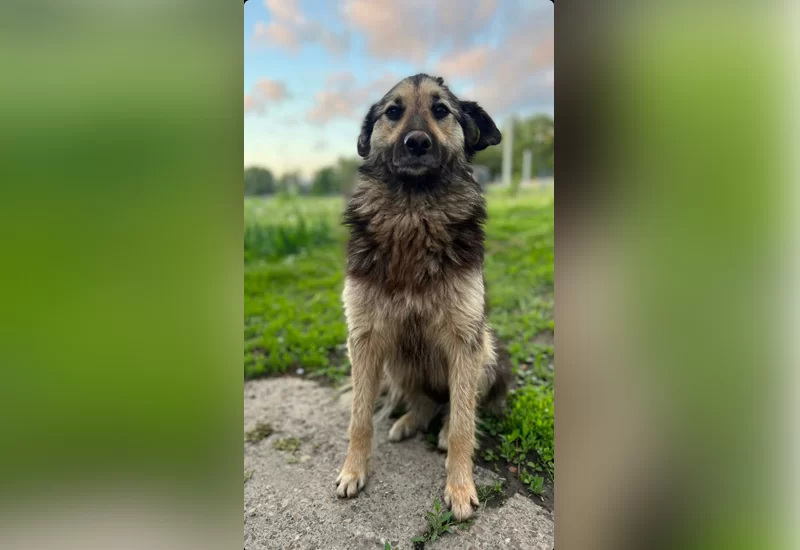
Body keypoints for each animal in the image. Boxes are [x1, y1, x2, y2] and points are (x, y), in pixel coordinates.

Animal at [332, 73, 510, 520]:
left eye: (441, 110)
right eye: (393, 111)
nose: (416, 142)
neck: (414, 211)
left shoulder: (466, 340)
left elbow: (464, 423)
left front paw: (460, 487)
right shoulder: (364, 339)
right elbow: (360, 417)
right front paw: (352, 471)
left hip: (487, 353)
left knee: (458, 408)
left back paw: (441, 430)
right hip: (397, 362)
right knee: (425, 402)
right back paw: (408, 420)